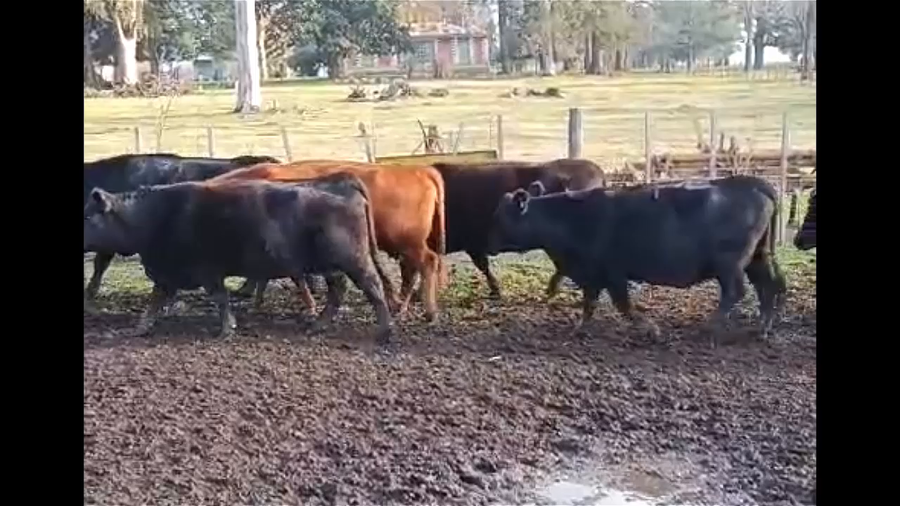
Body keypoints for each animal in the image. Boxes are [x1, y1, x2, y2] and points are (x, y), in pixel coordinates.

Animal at [83, 174, 393, 342]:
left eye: (88, 216)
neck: (153, 216)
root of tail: (341, 181)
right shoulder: (167, 275)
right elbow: (153, 304)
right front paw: (139, 329)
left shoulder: (206, 271)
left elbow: (219, 299)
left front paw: (225, 330)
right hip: (331, 266)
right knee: (338, 290)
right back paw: (319, 324)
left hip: (354, 260)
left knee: (373, 288)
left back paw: (385, 331)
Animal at [208, 160, 447, 322]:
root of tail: (418, 170)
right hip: (405, 245)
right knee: (411, 271)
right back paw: (402, 305)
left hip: (408, 242)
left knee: (427, 263)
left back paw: (429, 311)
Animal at [488, 175, 788, 346]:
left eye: (501, 217)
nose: (488, 243)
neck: (570, 218)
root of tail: (753, 183)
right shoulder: (593, 274)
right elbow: (589, 304)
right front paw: (580, 329)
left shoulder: (611, 273)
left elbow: (623, 305)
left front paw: (651, 330)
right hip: (757, 257)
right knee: (768, 286)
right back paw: (762, 328)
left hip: (730, 264)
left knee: (736, 291)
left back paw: (711, 327)